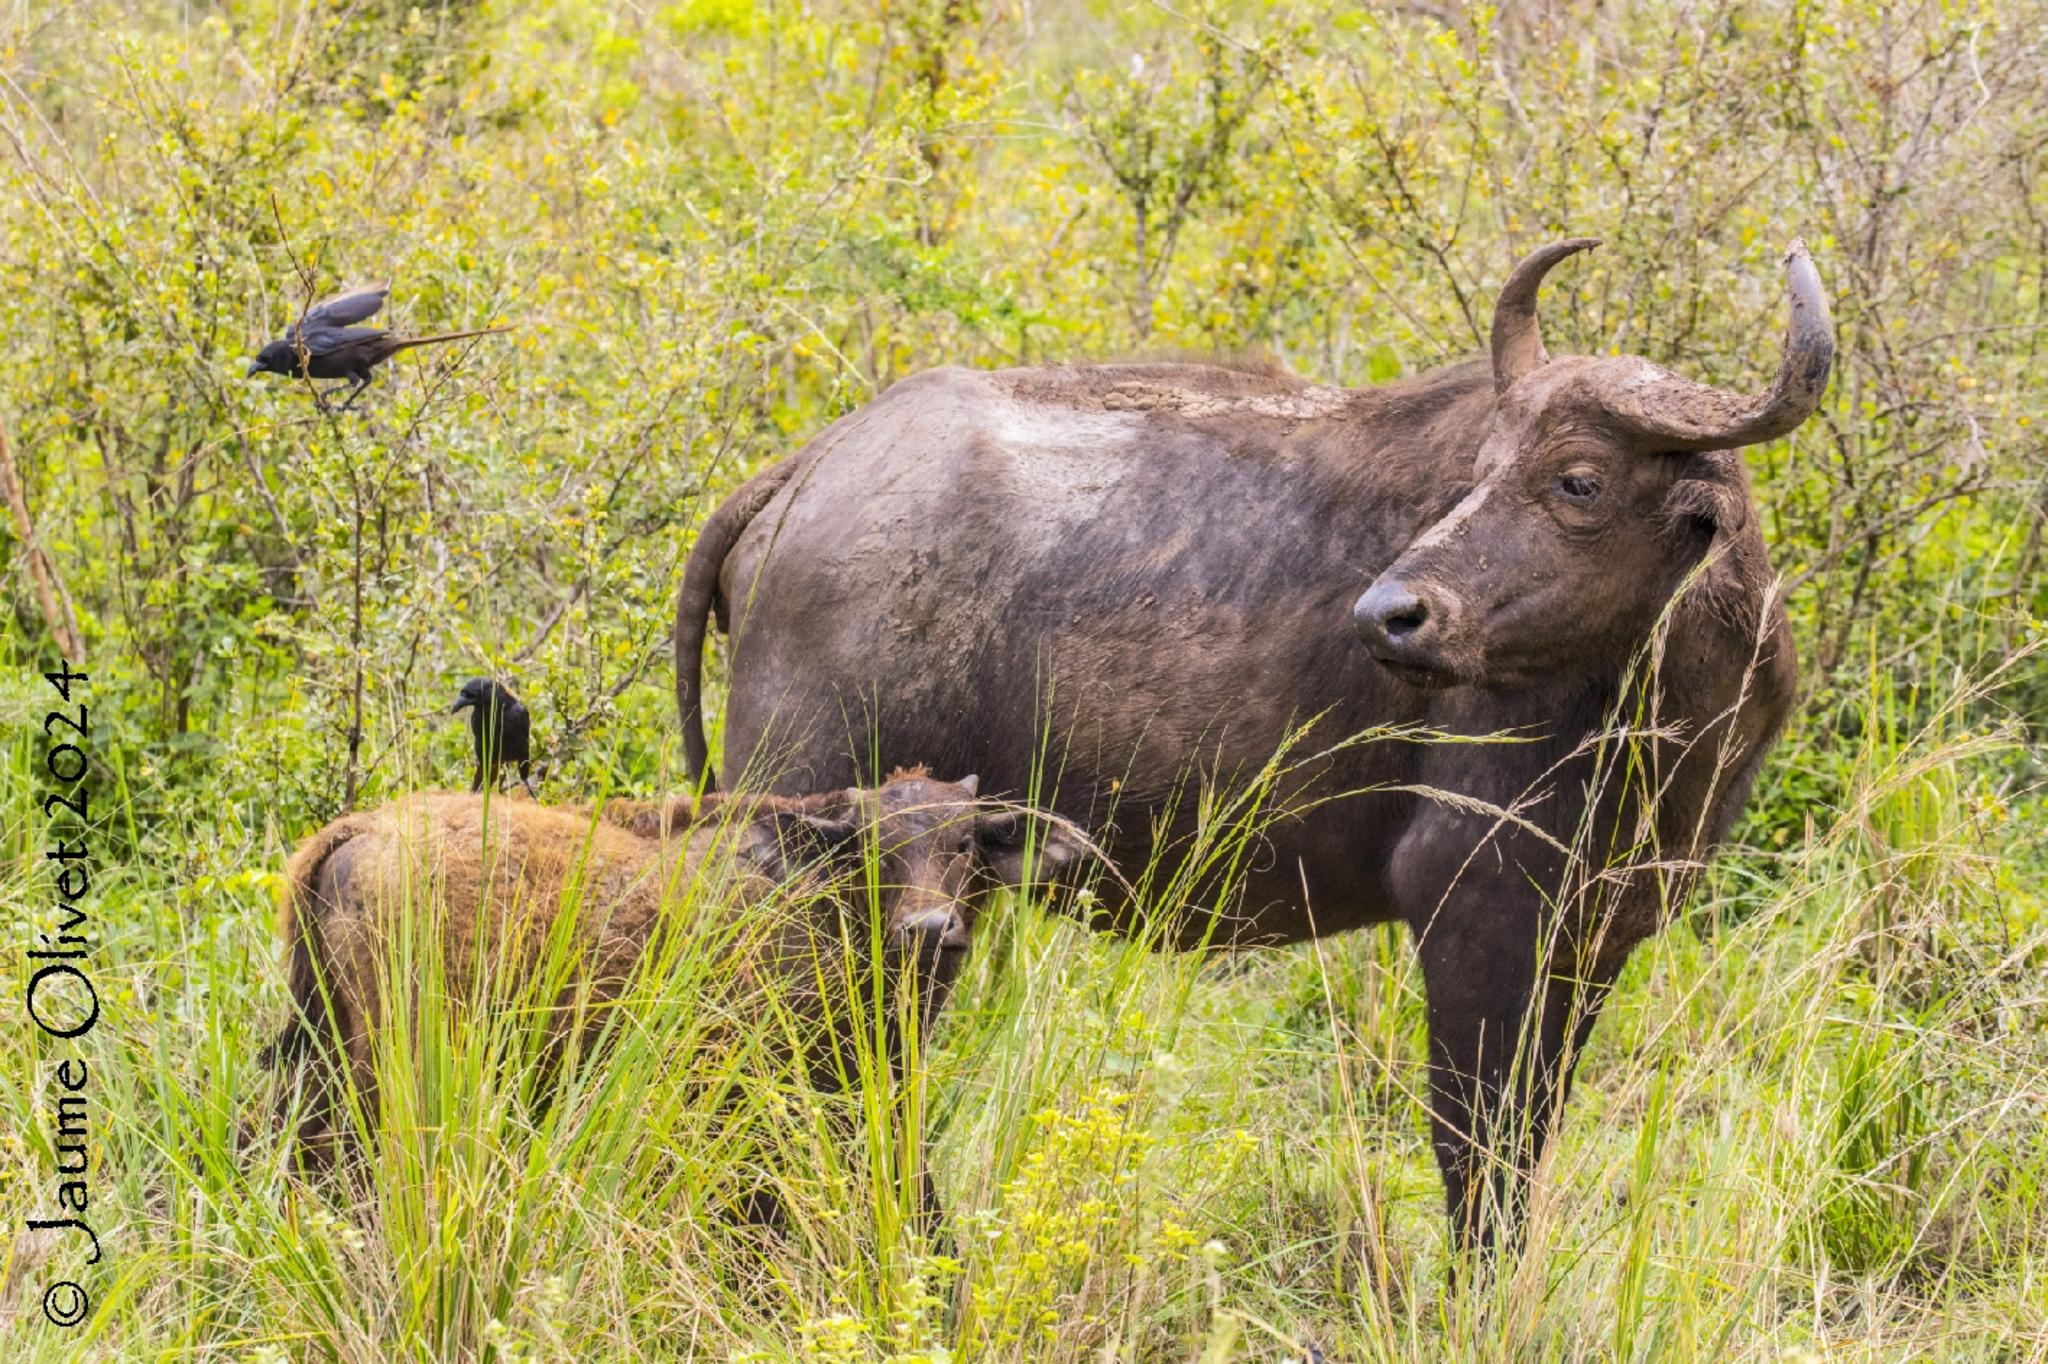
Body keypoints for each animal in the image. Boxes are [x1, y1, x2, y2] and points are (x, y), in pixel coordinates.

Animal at [679, 238, 1835, 1261]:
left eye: (1579, 480)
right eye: (1483, 468)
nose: (1390, 614)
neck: (1657, 700)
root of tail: (806, 467)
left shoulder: (1597, 938)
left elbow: (1530, 1142)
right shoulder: (1473, 912)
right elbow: (1478, 1154)